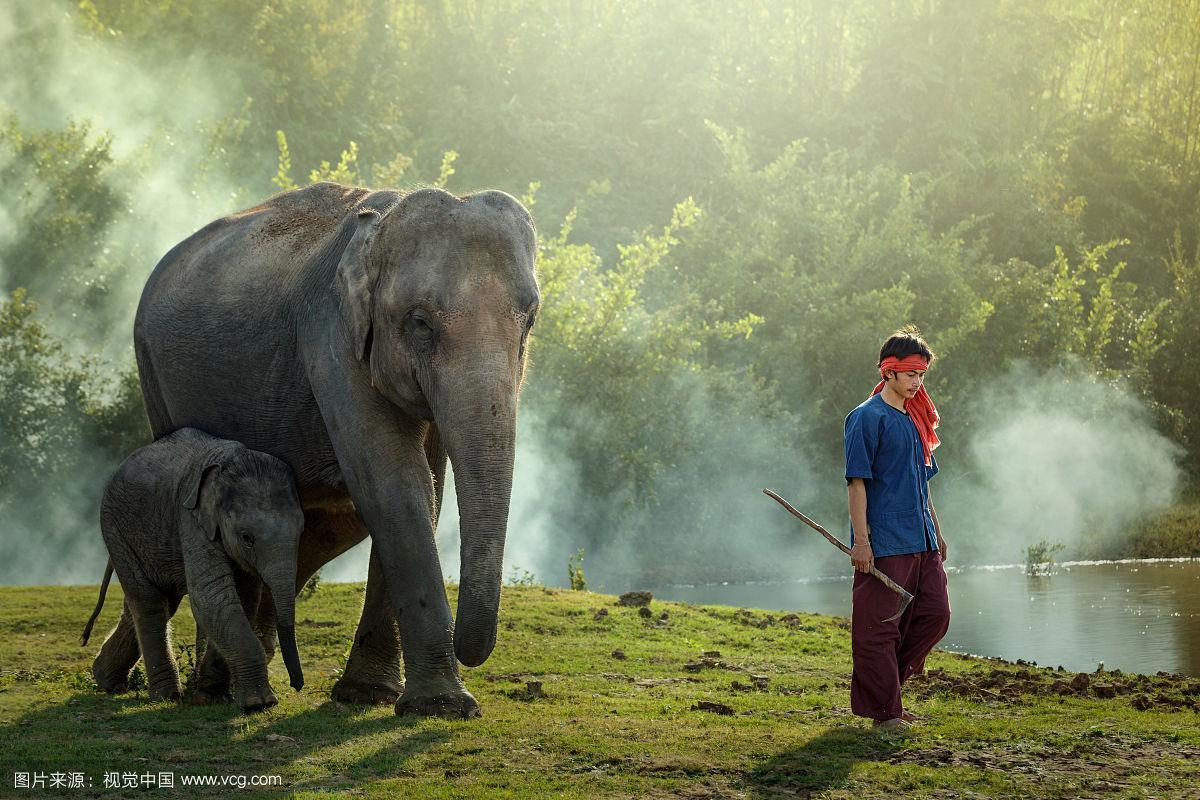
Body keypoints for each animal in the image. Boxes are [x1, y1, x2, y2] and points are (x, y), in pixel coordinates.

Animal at [83, 429, 304, 710]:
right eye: (247, 538)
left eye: (301, 531)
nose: (297, 685)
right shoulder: (191, 520)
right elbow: (211, 598)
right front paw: (259, 702)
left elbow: (243, 599)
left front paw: (211, 697)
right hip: (116, 530)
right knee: (150, 604)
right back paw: (166, 696)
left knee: (159, 602)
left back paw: (107, 680)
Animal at [127, 183, 535, 719]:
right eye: (420, 322)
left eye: (530, 320)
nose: (469, 651)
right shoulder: (332, 339)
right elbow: (395, 487)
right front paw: (444, 705)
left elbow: (424, 490)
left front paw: (371, 695)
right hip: (151, 371)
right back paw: (208, 690)